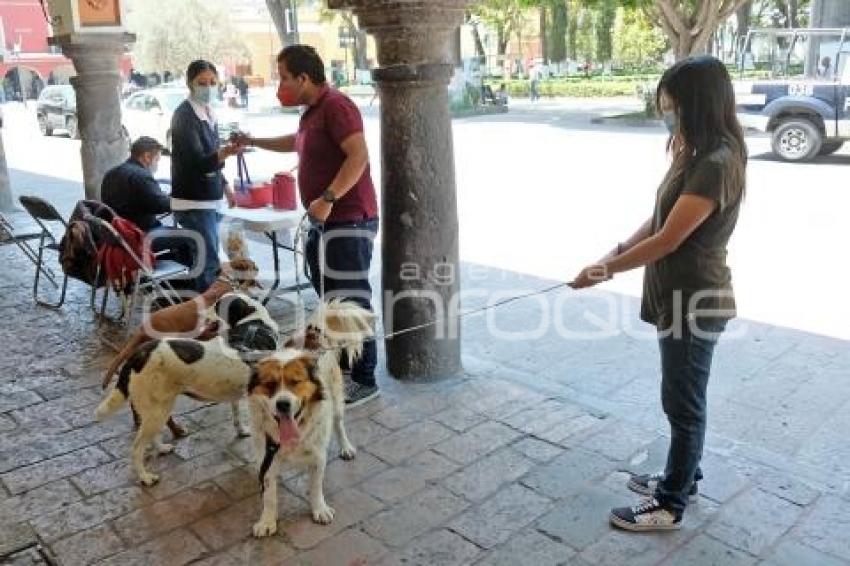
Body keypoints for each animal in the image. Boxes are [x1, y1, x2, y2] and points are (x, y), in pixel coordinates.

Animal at [101, 258, 258, 440]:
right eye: (252, 266)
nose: (258, 269)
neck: (226, 281)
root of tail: (142, 330)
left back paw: (139, 421)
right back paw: (176, 430)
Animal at [245, 302, 372, 536]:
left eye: (296, 382)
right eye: (270, 385)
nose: (283, 404)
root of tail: (313, 332)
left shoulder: (318, 456)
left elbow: (315, 487)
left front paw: (319, 509)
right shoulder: (267, 457)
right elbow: (269, 495)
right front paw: (267, 521)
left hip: (336, 401)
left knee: (339, 424)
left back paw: (346, 447)